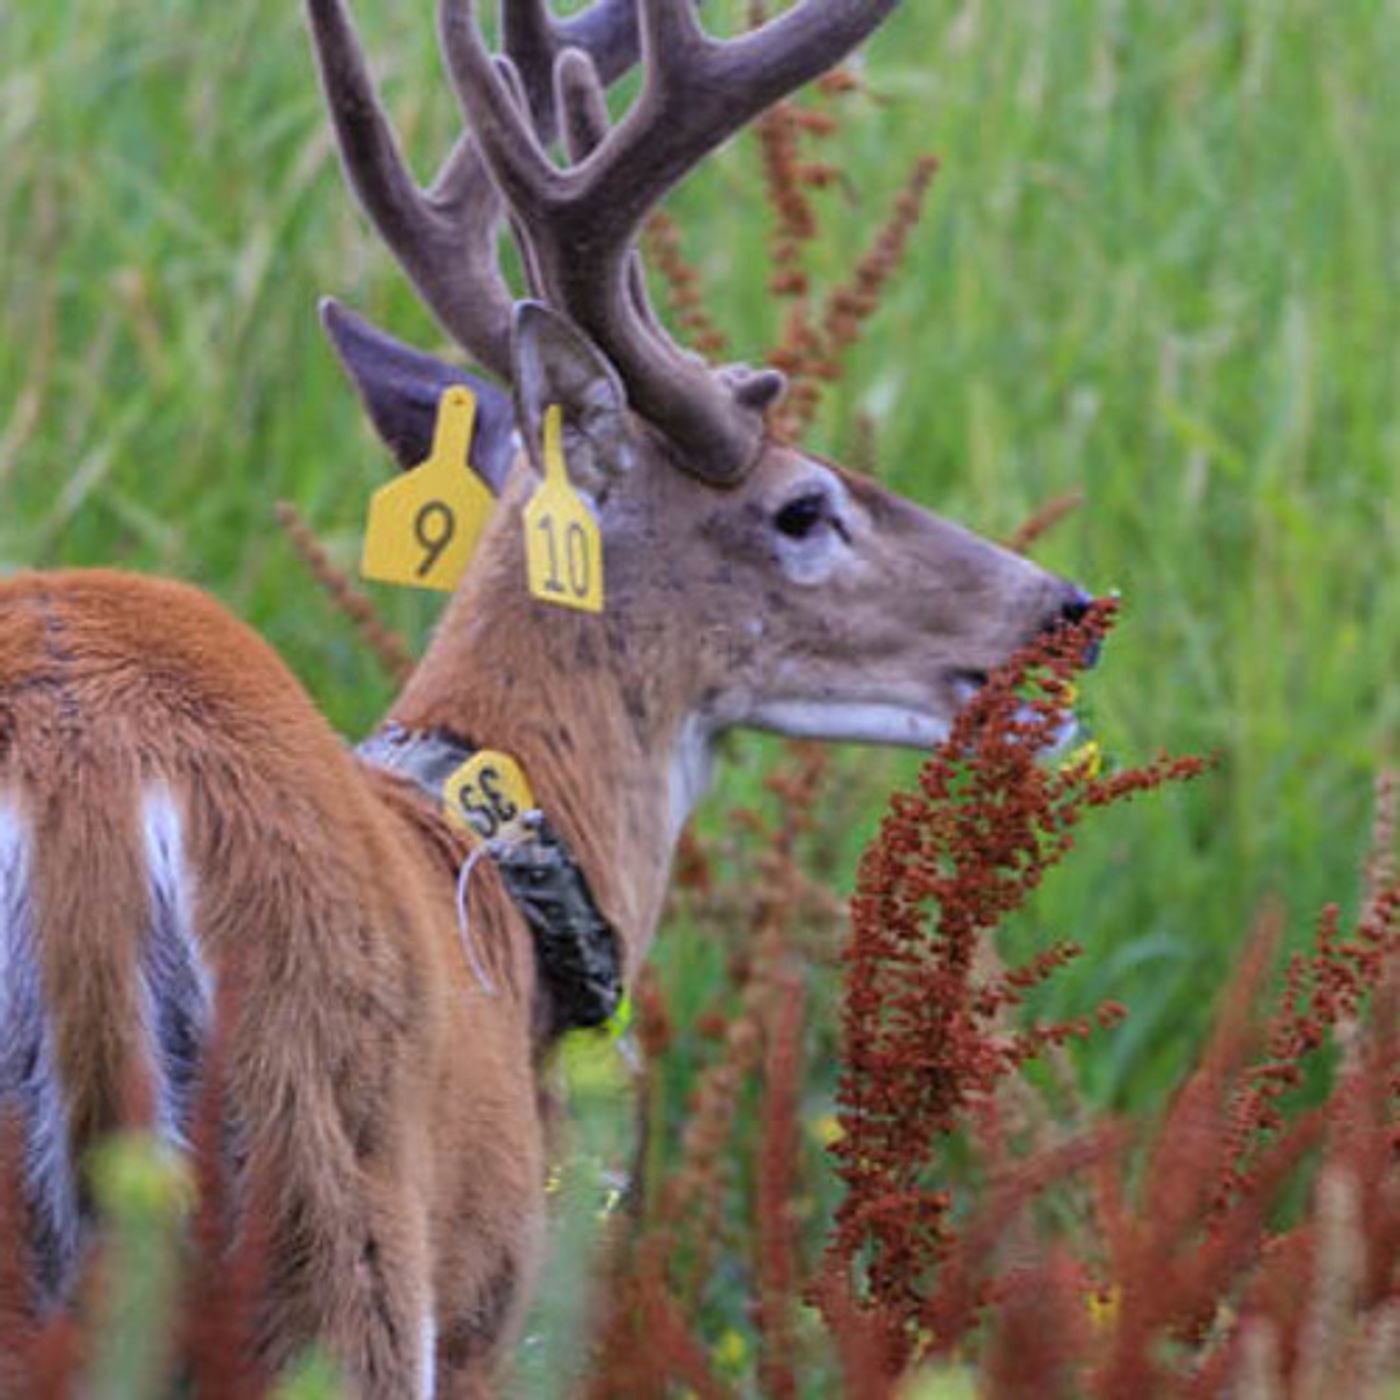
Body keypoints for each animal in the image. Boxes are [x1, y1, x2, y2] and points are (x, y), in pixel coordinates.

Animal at [0, 0, 1093, 1394]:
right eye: (801, 508)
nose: (1059, 609)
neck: (491, 864)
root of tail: (84, 786)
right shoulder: (478, 1297)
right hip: (334, 1219)